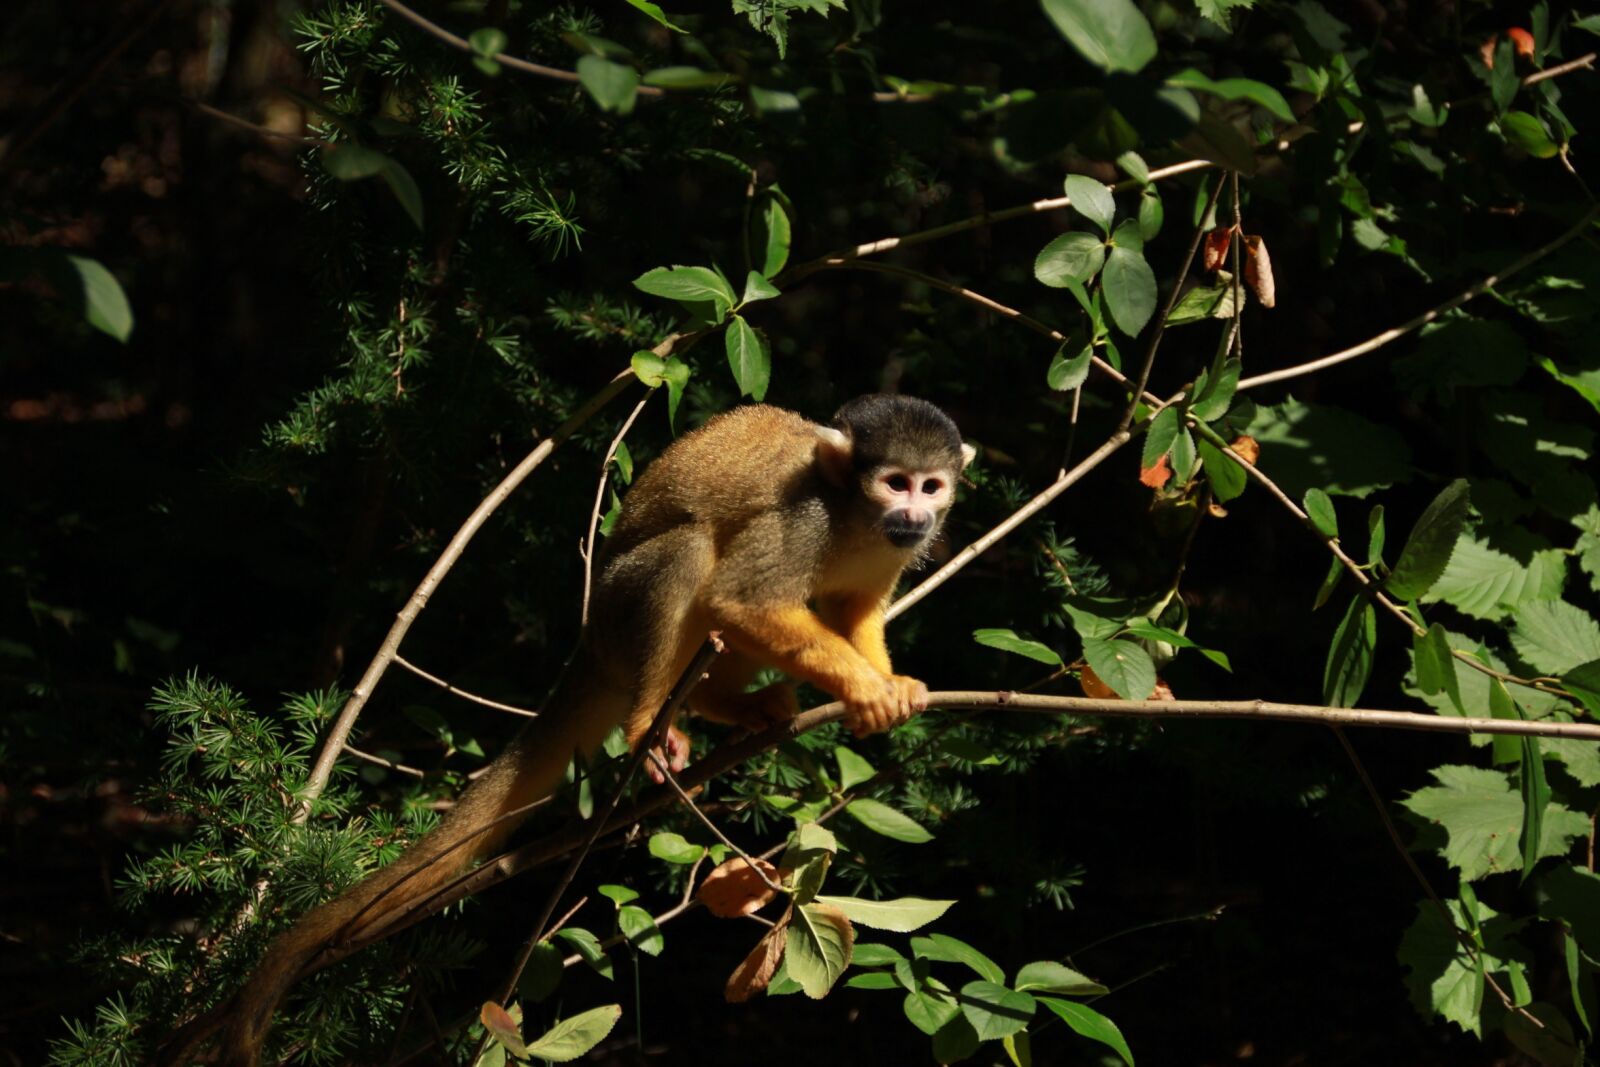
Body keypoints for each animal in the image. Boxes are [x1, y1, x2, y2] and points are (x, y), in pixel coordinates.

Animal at [205, 394, 973, 1066]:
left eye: (931, 486)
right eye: (895, 481)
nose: (914, 511)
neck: (857, 516)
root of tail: (590, 645)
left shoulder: (888, 550)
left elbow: (855, 609)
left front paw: (890, 687)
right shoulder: (806, 517)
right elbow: (744, 598)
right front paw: (866, 688)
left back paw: (731, 705)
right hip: (617, 611)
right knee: (693, 554)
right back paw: (647, 727)